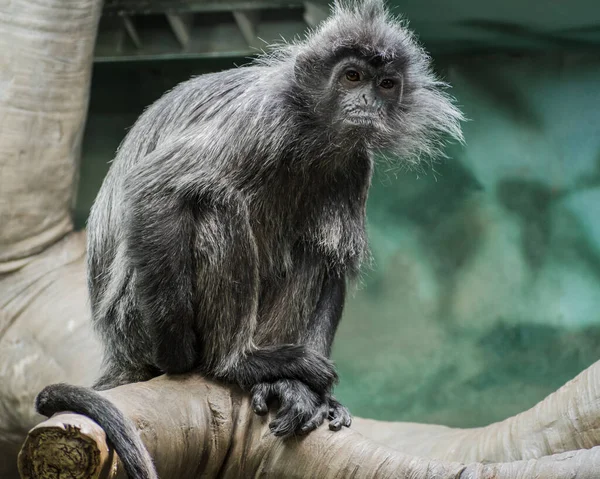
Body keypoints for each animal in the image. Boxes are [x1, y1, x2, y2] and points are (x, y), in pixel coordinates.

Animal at [34, 0, 464, 479]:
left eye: (387, 85)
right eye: (352, 76)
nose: (369, 101)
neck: (311, 134)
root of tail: (115, 346)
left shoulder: (355, 164)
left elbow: (333, 260)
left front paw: (308, 395)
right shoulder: (262, 118)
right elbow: (156, 186)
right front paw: (179, 355)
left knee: (309, 249)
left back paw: (281, 383)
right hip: (133, 319)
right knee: (214, 202)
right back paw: (235, 362)